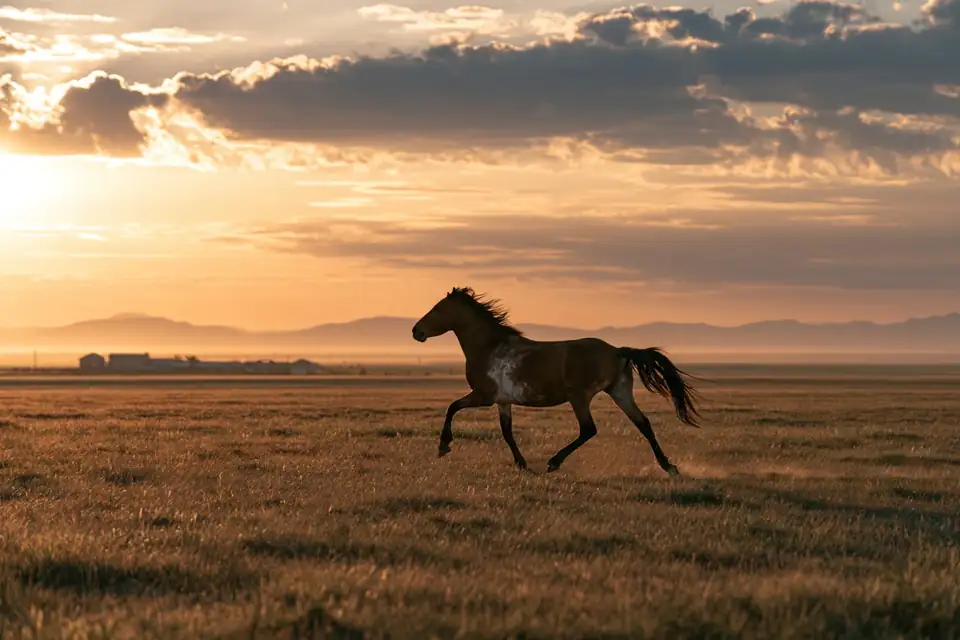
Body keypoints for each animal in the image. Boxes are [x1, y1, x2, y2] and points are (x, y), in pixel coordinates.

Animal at [411, 287, 704, 476]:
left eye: (437, 309)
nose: (416, 331)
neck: (489, 347)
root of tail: (618, 350)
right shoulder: (503, 401)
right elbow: (507, 432)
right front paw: (521, 464)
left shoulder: (484, 396)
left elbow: (452, 407)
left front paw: (443, 446)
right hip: (619, 392)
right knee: (643, 424)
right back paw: (669, 467)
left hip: (580, 397)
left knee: (589, 429)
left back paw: (554, 462)